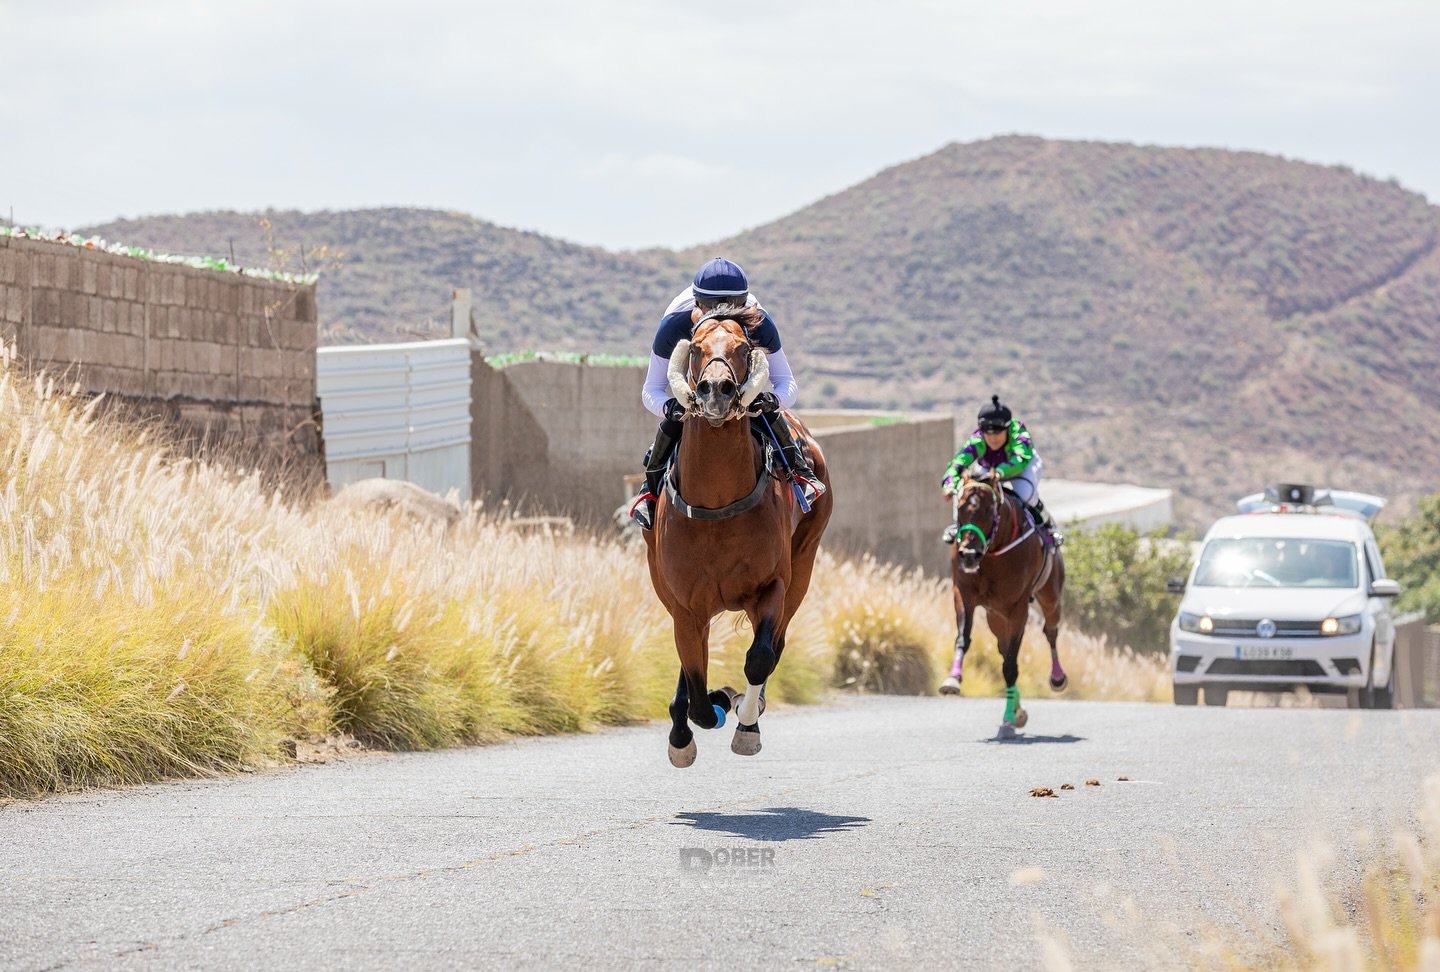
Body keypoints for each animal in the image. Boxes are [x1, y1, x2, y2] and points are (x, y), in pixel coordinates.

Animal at [643, 306, 833, 767]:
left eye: (744, 348)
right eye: (695, 348)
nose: (716, 390)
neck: (716, 503)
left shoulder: (773, 586)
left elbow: (760, 658)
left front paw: (746, 721)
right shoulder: (686, 604)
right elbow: (696, 685)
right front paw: (702, 714)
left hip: (803, 567)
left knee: (774, 645)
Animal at [939, 469, 1067, 738]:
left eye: (989, 511)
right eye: (961, 508)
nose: (968, 555)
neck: (992, 553)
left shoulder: (1019, 606)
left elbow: (1010, 664)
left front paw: (1009, 718)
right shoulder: (963, 593)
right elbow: (964, 638)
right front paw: (952, 680)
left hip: (1050, 597)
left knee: (1050, 631)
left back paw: (1057, 678)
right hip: (995, 616)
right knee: (1003, 646)